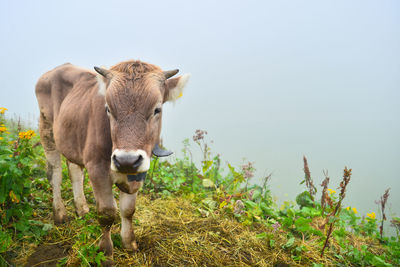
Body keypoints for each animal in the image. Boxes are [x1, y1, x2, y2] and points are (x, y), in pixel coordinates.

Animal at [35, 59, 190, 264]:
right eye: (108, 108)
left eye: (157, 109)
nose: (126, 160)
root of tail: (58, 68)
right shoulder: (96, 167)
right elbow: (107, 213)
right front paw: (106, 254)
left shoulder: (138, 170)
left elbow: (128, 209)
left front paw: (129, 243)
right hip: (46, 128)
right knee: (55, 174)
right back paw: (60, 214)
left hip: (72, 140)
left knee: (75, 171)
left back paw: (82, 209)